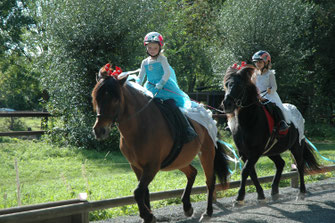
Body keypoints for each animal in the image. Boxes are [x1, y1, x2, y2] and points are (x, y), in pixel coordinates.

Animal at [92, 66, 231, 223]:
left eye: (115, 99)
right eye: (96, 98)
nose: (99, 130)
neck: (140, 125)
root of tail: (208, 114)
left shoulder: (152, 166)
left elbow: (138, 191)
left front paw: (147, 215)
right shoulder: (136, 166)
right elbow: (143, 191)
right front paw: (148, 216)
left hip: (206, 153)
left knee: (210, 181)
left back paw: (207, 212)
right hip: (178, 160)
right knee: (192, 173)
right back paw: (187, 207)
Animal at [222, 65, 322, 206]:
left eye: (239, 85)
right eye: (226, 84)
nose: (227, 104)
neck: (249, 120)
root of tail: (296, 110)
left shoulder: (255, 152)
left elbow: (245, 171)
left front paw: (239, 198)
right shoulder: (244, 153)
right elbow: (251, 173)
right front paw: (260, 195)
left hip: (296, 146)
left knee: (300, 165)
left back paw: (301, 193)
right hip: (272, 150)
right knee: (280, 164)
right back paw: (274, 191)